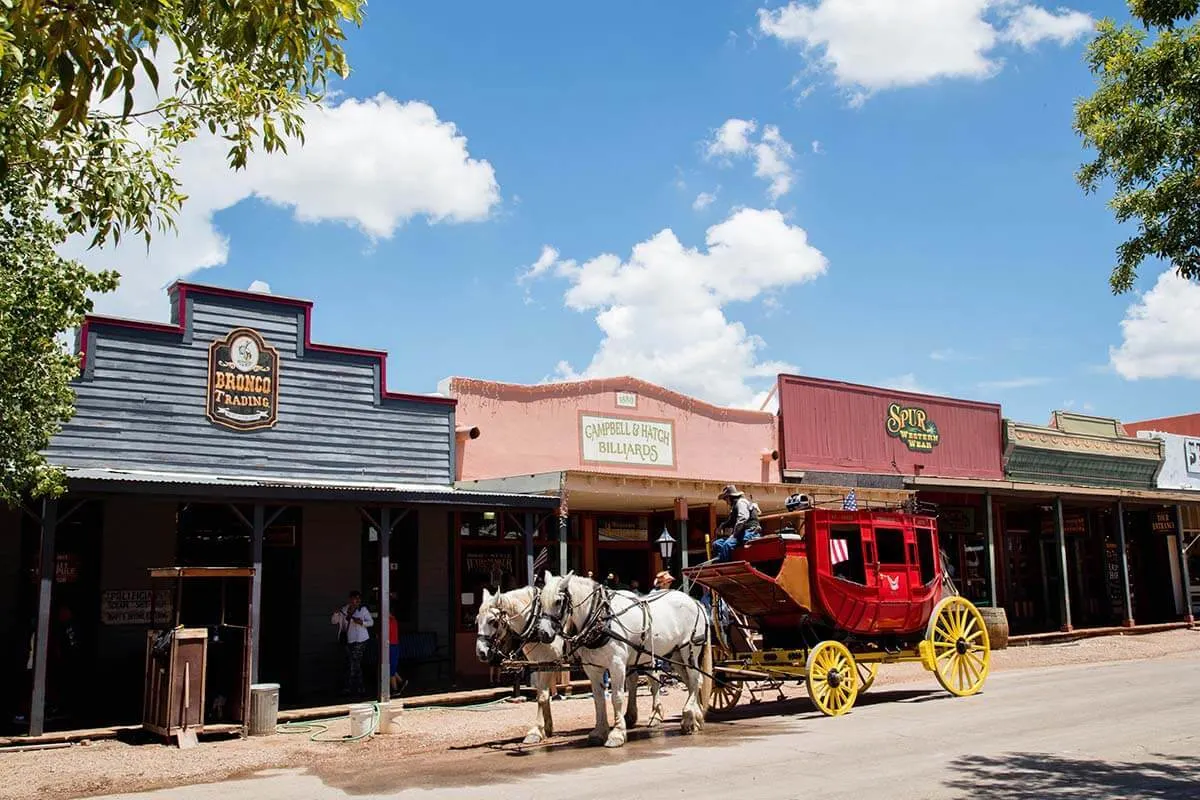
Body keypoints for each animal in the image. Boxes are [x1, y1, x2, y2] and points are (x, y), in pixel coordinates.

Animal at [472, 582, 566, 743]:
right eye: (477, 620)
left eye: (492, 621)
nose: (481, 652)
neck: (535, 623)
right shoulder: (539, 663)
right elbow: (542, 695)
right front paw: (546, 728)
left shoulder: (548, 662)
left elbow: (542, 697)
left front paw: (536, 731)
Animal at [535, 568, 710, 753]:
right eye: (540, 602)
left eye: (558, 601)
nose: (543, 634)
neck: (601, 619)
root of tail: (694, 601)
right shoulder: (593, 668)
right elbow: (598, 699)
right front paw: (599, 732)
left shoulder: (617, 665)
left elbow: (617, 697)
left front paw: (617, 734)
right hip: (675, 655)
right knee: (689, 682)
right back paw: (695, 718)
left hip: (689, 649)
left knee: (695, 680)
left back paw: (688, 716)